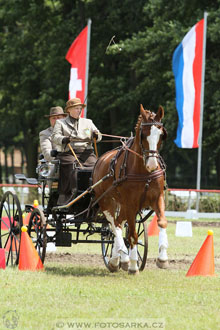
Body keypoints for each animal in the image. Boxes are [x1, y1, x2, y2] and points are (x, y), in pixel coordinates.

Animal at [93, 105, 168, 274]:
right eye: (143, 134)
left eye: (161, 135)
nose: (152, 164)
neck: (144, 172)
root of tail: (101, 159)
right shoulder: (130, 204)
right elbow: (133, 235)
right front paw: (133, 264)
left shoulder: (157, 198)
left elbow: (162, 222)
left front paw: (162, 258)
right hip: (107, 202)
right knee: (115, 225)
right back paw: (123, 258)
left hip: (123, 206)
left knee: (118, 224)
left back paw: (116, 259)